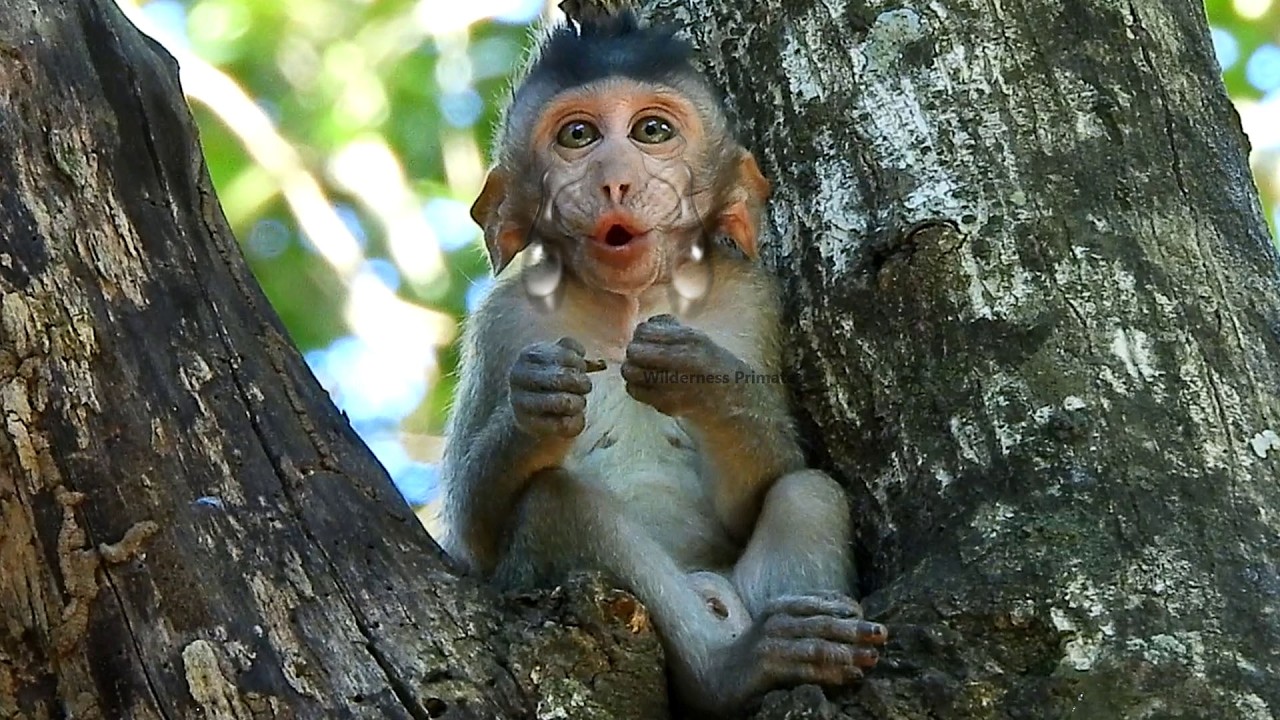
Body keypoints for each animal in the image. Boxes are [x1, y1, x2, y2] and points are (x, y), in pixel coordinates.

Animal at [439, 7, 886, 716]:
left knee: (808, 492)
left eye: (652, 131)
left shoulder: (752, 302)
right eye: (578, 135)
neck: (629, 307)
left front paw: (698, 375)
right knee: (557, 503)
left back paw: (793, 653)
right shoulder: (502, 322)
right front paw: (533, 402)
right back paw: (730, 671)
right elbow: (472, 542)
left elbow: (758, 491)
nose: (617, 180)